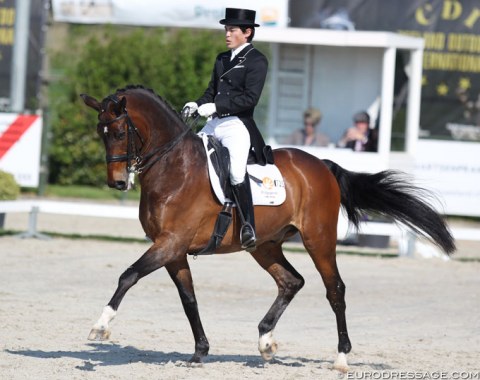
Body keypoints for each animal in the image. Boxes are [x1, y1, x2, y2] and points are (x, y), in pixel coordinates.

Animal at [80, 84, 456, 372]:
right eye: (100, 134)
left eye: (119, 132)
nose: (117, 183)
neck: (175, 168)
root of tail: (322, 165)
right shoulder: (172, 250)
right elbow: (189, 299)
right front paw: (200, 352)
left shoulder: (171, 243)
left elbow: (128, 275)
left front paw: (100, 326)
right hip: (265, 244)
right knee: (291, 281)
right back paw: (265, 341)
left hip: (318, 240)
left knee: (335, 290)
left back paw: (341, 358)